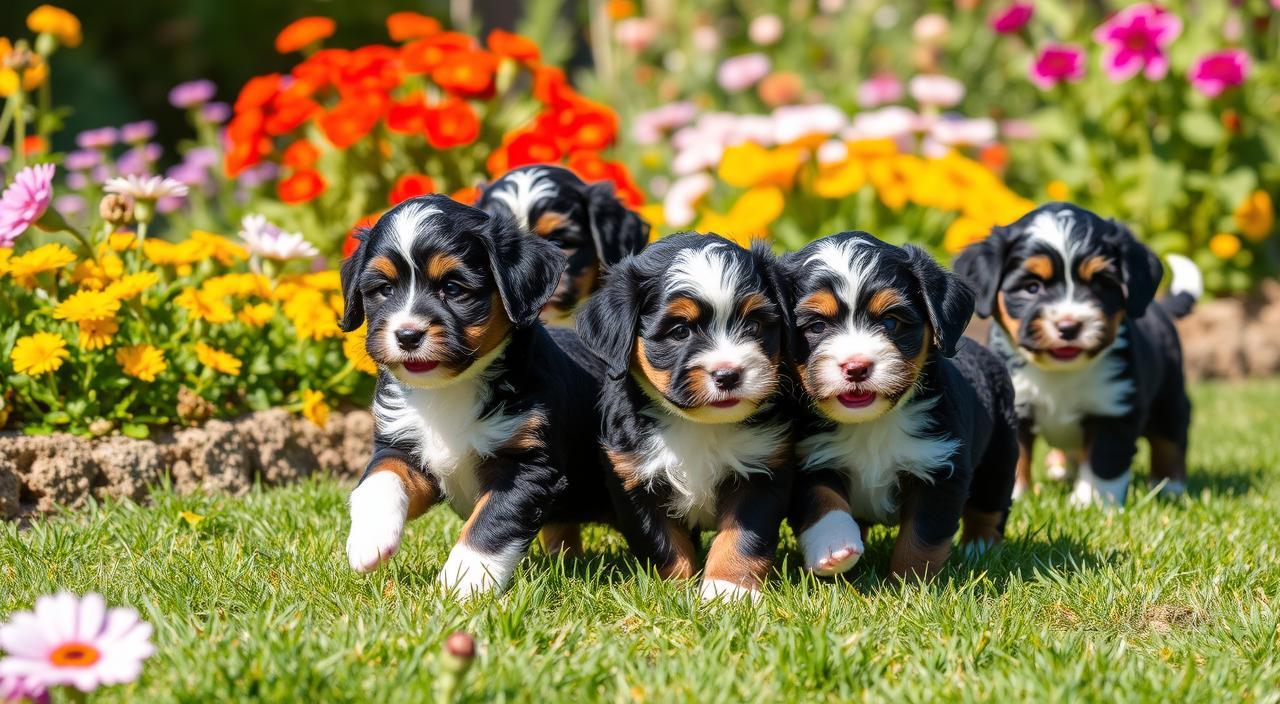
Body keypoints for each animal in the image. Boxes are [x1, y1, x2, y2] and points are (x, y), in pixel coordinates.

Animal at [340, 194, 614, 601]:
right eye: (384, 289)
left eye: (453, 288)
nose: (407, 335)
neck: (450, 389)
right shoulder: (403, 447)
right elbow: (381, 477)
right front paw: (369, 538)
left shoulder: (526, 467)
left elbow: (489, 525)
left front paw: (463, 583)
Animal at [578, 234, 793, 604]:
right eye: (680, 332)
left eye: (753, 325)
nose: (728, 374)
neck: (698, 426)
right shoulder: (633, 480)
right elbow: (663, 544)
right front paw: (672, 592)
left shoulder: (762, 469)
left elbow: (741, 536)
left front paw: (728, 590)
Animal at [778, 234, 1018, 581]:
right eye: (818, 326)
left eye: (890, 321)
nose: (856, 367)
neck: (872, 425)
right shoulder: (812, 458)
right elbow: (824, 502)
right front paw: (834, 548)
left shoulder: (940, 468)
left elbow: (921, 538)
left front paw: (911, 583)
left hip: (999, 456)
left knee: (989, 508)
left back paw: (979, 550)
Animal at [957, 202, 1203, 506]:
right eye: (1032, 287)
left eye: (1098, 284)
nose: (1069, 326)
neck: (1060, 374)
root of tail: (1160, 307)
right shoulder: (1014, 402)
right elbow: (1015, 456)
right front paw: (1016, 495)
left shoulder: (1113, 407)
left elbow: (1103, 461)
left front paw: (1091, 503)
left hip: (1168, 396)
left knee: (1170, 438)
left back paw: (1170, 486)